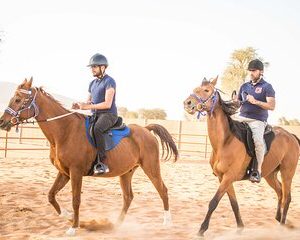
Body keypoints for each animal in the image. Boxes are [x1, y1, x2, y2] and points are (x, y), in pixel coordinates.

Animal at [0, 78, 178, 235]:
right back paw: (116, 225)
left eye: (18, 99)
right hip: (126, 172)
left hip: (151, 168)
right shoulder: (64, 173)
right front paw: (67, 215)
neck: (65, 131)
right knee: (128, 197)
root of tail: (146, 130)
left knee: (163, 190)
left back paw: (167, 222)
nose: (2, 122)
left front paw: (73, 227)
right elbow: (51, 195)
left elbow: (76, 200)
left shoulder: (76, 172)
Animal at [183, 76, 300, 236]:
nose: (187, 103)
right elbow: (234, 203)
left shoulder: (229, 176)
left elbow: (214, 202)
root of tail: (291, 136)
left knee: (287, 198)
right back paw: (278, 219)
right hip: (270, 174)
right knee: (280, 193)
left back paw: (282, 226)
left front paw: (202, 230)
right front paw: (240, 228)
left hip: (287, 173)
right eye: (195, 89)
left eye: (206, 90)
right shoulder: (223, 178)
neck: (225, 141)